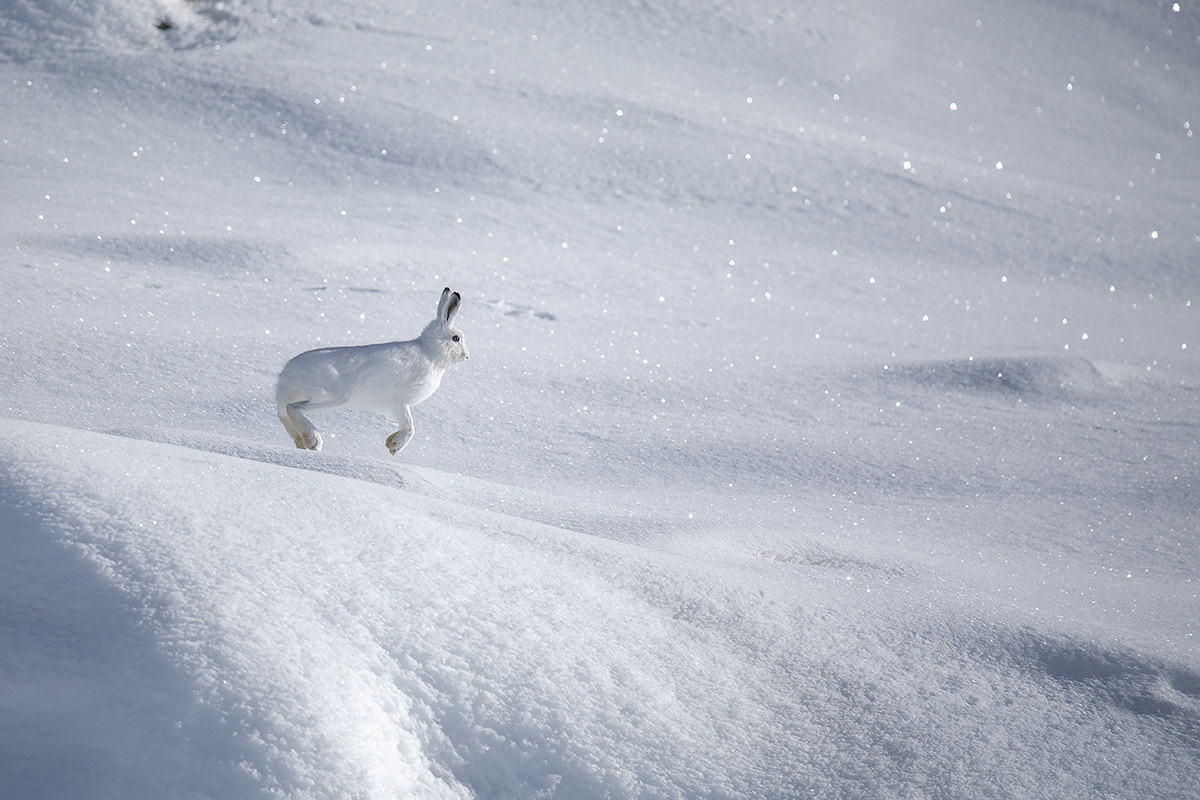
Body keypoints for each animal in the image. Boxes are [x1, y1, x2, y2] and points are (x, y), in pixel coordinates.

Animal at [276, 286, 468, 454]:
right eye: (456, 338)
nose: (466, 356)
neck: (430, 353)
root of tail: (287, 373)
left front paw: (390, 442)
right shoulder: (400, 401)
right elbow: (410, 427)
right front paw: (395, 446)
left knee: (284, 413)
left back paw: (303, 442)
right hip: (332, 397)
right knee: (293, 408)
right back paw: (314, 440)